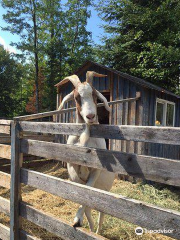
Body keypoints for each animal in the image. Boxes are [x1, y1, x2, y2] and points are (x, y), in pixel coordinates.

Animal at [56, 72, 115, 233]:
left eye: (94, 94)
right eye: (77, 97)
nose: (90, 116)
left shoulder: (96, 170)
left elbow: (86, 189)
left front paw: (77, 219)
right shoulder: (71, 166)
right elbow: (81, 190)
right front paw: (78, 220)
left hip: (105, 191)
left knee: (102, 213)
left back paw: (97, 231)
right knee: (91, 209)